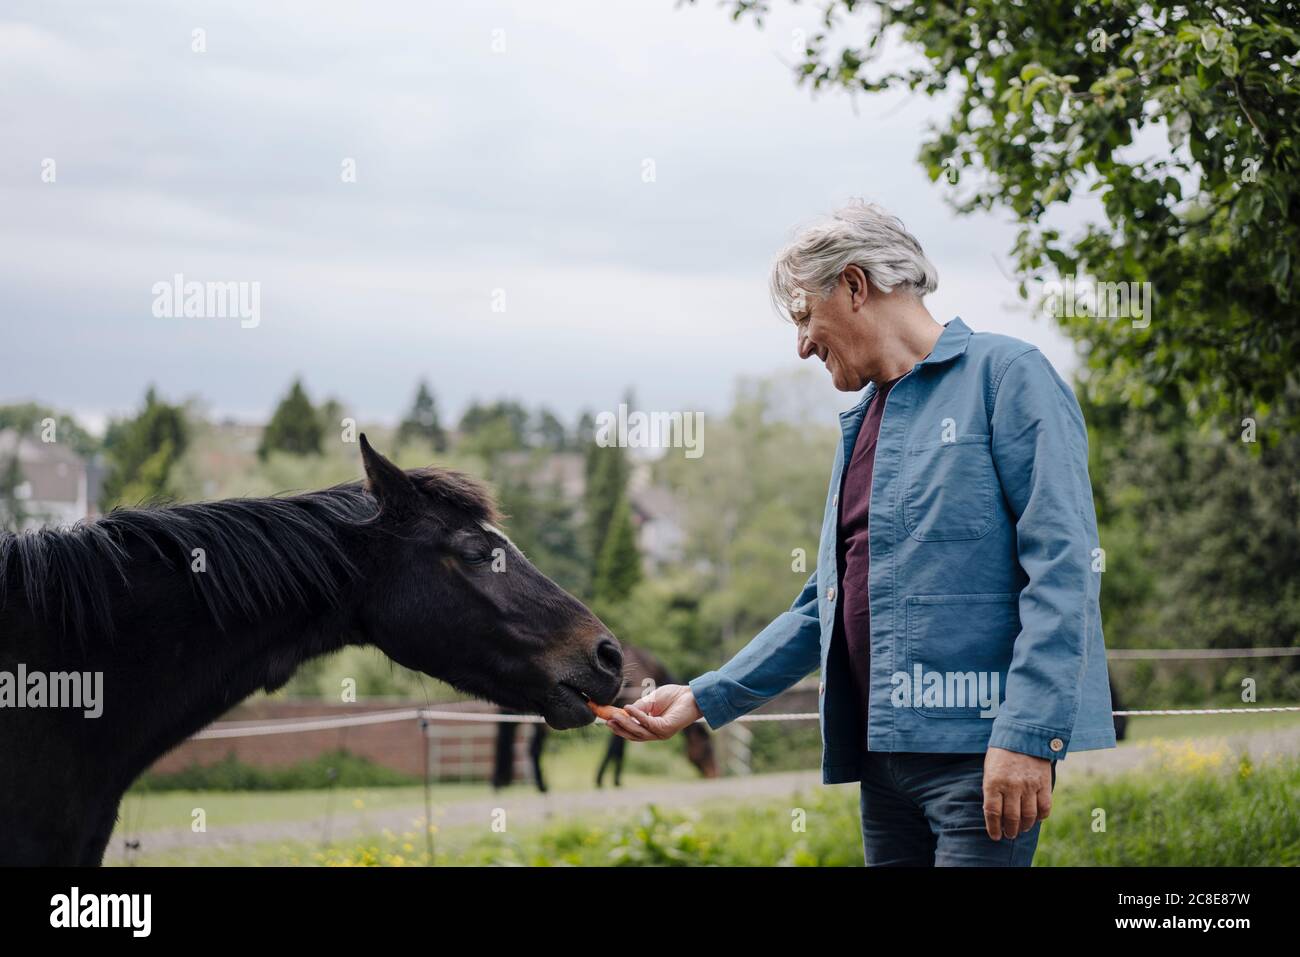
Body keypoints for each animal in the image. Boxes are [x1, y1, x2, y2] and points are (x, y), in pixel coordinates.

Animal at [488, 642, 717, 790]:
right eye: (707, 749)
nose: (712, 774)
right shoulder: (623, 705)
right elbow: (616, 749)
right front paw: (609, 781)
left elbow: (616, 748)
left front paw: (607, 780)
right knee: (533, 749)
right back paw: (542, 786)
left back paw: (502, 783)